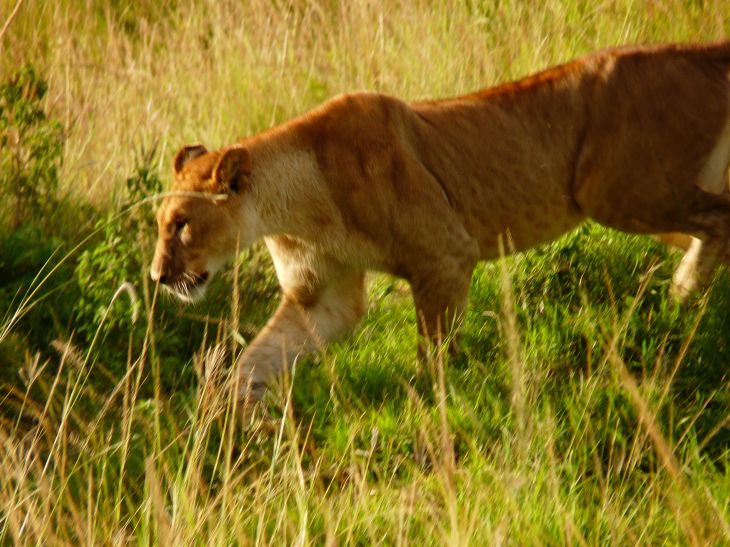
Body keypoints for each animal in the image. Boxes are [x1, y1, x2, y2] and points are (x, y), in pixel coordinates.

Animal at [151, 41, 730, 405]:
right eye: (161, 223)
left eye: (181, 224)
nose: (157, 277)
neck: (291, 207)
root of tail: (698, 49)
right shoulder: (322, 296)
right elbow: (256, 360)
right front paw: (241, 421)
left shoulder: (446, 257)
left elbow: (433, 359)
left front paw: (436, 411)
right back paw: (684, 303)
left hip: (620, 193)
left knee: (720, 222)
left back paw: (682, 296)